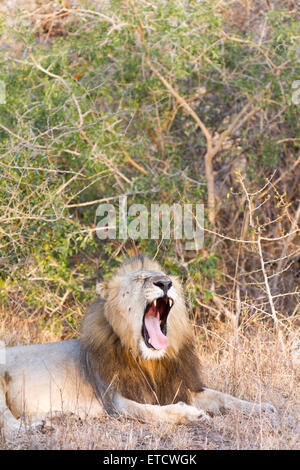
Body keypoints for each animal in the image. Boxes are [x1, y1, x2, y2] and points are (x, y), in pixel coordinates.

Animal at [0, 253, 276, 436]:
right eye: (140, 279)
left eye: (168, 278)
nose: (165, 283)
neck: (150, 361)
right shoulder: (114, 400)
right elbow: (150, 411)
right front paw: (191, 414)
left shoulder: (180, 386)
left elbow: (225, 397)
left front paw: (262, 408)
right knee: (9, 427)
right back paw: (41, 427)